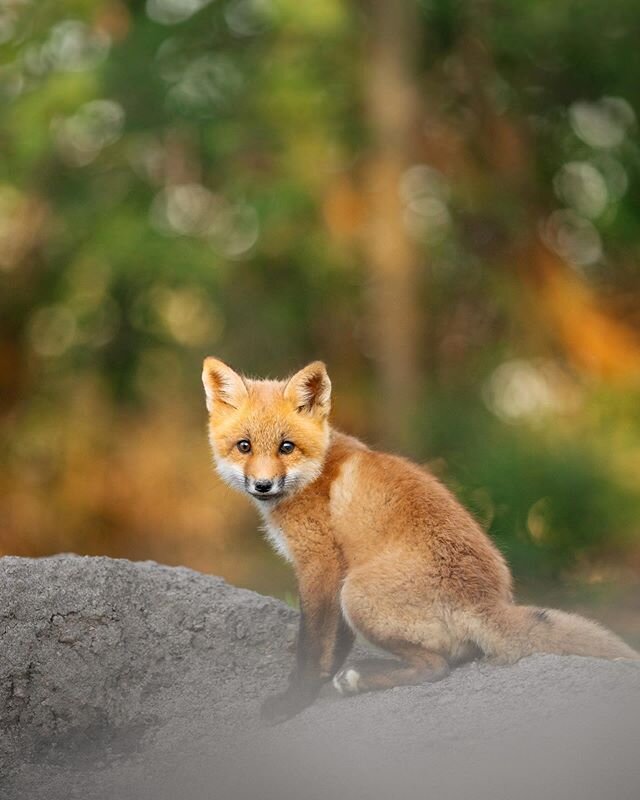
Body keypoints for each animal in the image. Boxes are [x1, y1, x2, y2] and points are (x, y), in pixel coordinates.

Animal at [202, 357, 640, 723]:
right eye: (244, 446)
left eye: (286, 447)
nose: (262, 485)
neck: (316, 475)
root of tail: (487, 601)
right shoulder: (337, 567)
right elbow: (336, 643)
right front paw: (321, 682)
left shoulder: (321, 565)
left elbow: (312, 644)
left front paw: (296, 700)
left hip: (356, 593)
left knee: (436, 667)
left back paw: (361, 680)